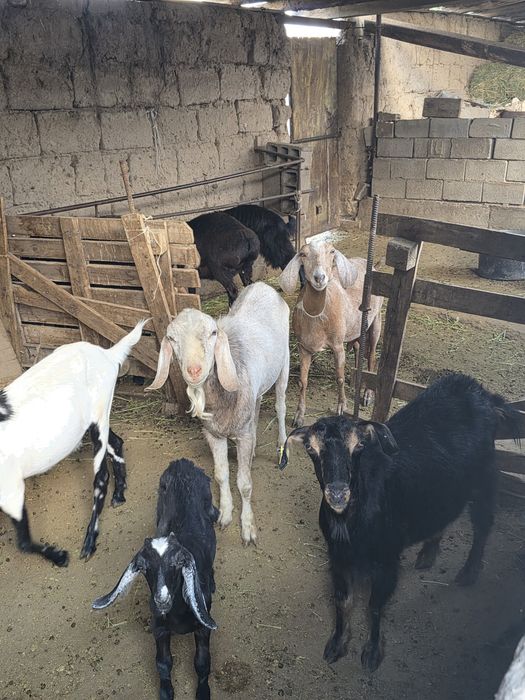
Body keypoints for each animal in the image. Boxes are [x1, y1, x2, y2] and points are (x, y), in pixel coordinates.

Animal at [0, 320, 147, 566]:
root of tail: (107, 355)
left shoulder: (10, 485)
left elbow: (23, 542)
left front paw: (60, 556)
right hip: (97, 419)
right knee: (116, 442)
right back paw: (119, 494)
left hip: (99, 416)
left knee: (101, 477)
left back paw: (89, 542)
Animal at [93, 458, 218, 700]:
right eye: (143, 567)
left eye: (178, 563)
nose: (162, 599)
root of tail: (182, 462)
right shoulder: (159, 627)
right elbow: (163, 663)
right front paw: (166, 692)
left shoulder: (203, 627)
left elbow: (202, 662)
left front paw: (203, 692)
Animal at [147, 282, 289, 545]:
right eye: (171, 338)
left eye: (213, 333)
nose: (194, 370)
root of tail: (263, 285)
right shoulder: (213, 435)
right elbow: (221, 475)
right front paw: (225, 514)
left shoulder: (242, 435)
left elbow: (244, 484)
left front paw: (248, 527)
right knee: (256, 407)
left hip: (284, 362)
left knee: (280, 405)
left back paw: (281, 445)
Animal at [279, 239, 383, 428]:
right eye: (303, 254)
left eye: (332, 251)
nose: (319, 278)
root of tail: (372, 264)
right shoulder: (303, 347)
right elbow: (303, 381)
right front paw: (299, 415)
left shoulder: (337, 345)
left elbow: (339, 377)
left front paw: (342, 406)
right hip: (355, 327)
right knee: (358, 347)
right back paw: (356, 381)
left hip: (376, 319)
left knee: (372, 355)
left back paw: (367, 394)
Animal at [280, 373, 520, 672]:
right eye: (310, 449)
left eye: (359, 445)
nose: (337, 493)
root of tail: (481, 393)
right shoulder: (338, 556)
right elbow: (343, 601)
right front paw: (337, 644)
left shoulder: (388, 558)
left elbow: (374, 606)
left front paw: (372, 653)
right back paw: (428, 553)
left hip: (484, 476)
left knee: (483, 524)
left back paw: (469, 572)